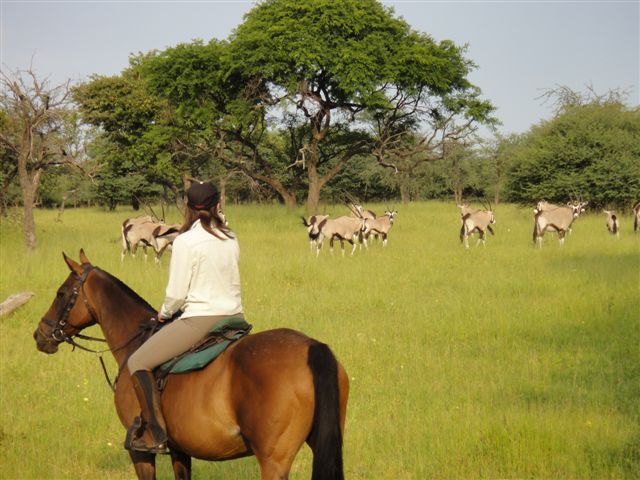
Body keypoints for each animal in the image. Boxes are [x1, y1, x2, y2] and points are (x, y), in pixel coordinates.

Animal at [32, 251, 348, 480]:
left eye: (61, 294)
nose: (40, 335)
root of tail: (312, 346)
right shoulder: (180, 450)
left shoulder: (141, 453)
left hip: (273, 461)